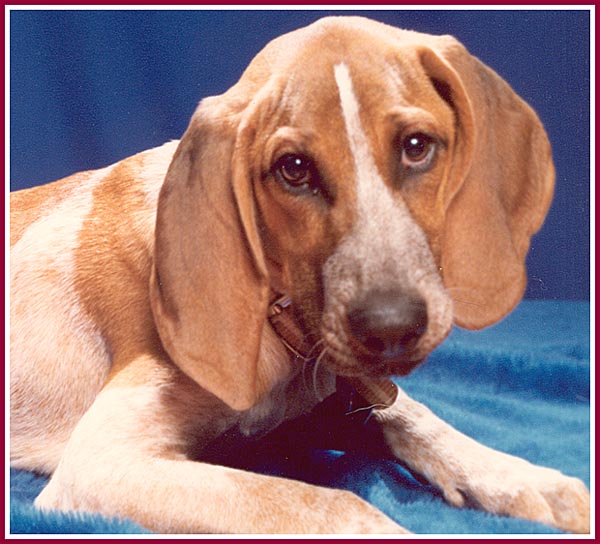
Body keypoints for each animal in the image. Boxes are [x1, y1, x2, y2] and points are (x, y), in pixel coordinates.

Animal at [10, 15, 592, 532]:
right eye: (293, 169)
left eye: (416, 146)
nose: (391, 327)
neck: (281, 323)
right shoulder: (102, 465)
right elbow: (334, 506)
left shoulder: (341, 392)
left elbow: (411, 414)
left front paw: (521, 478)